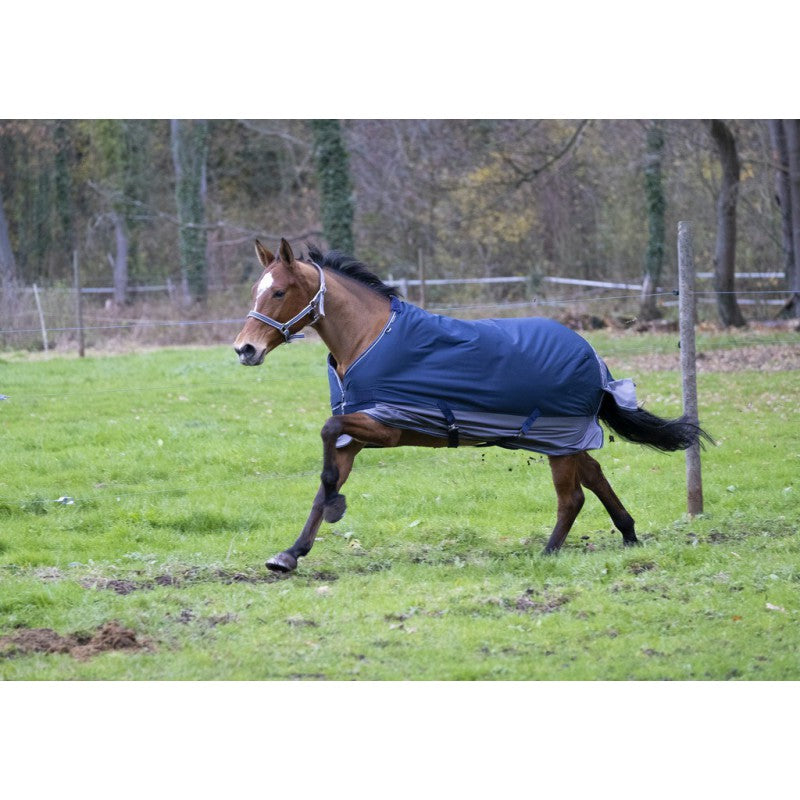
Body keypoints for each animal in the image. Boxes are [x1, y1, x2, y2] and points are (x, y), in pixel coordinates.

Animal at [234, 238, 711, 574]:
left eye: (279, 292)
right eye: (256, 291)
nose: (245, 349)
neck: (370, 338)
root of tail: (596, 360)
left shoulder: (383, 425)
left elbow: (327, 440)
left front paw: (335, 507)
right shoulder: (357, 436)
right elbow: (323, 482)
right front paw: (291, 553)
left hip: (560, 438)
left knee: (573, 496)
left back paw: (549, 551)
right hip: (565, 439)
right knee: (593, 476)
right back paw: (628, 535)